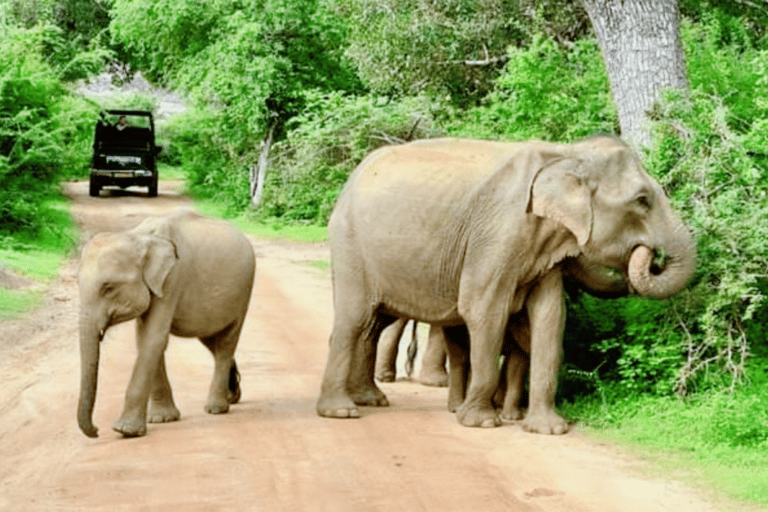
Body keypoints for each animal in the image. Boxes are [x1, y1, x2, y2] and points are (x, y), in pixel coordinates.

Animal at [78, 210, 258, 438]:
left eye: (108, 288)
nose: (96, 431)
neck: (138, 237)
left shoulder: (173, 279)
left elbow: (153, 338)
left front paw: (126, 430)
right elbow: (146, 340)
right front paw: (163, 419)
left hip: (244, 291)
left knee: (226, 342)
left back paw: (216, 408)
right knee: (211, 340)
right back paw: (233, 395)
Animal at [318, 135, 696, 432]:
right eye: (642, 200)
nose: (652, 257)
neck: (566, 153)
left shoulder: (543, 251)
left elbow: (550, 317)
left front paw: (549, 429)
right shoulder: (497, 235)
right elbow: (485, 310)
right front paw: (482, 423)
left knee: (373, 324)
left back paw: (370, 400)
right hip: (350, 244)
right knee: (354, 320)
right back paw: (342, 411)